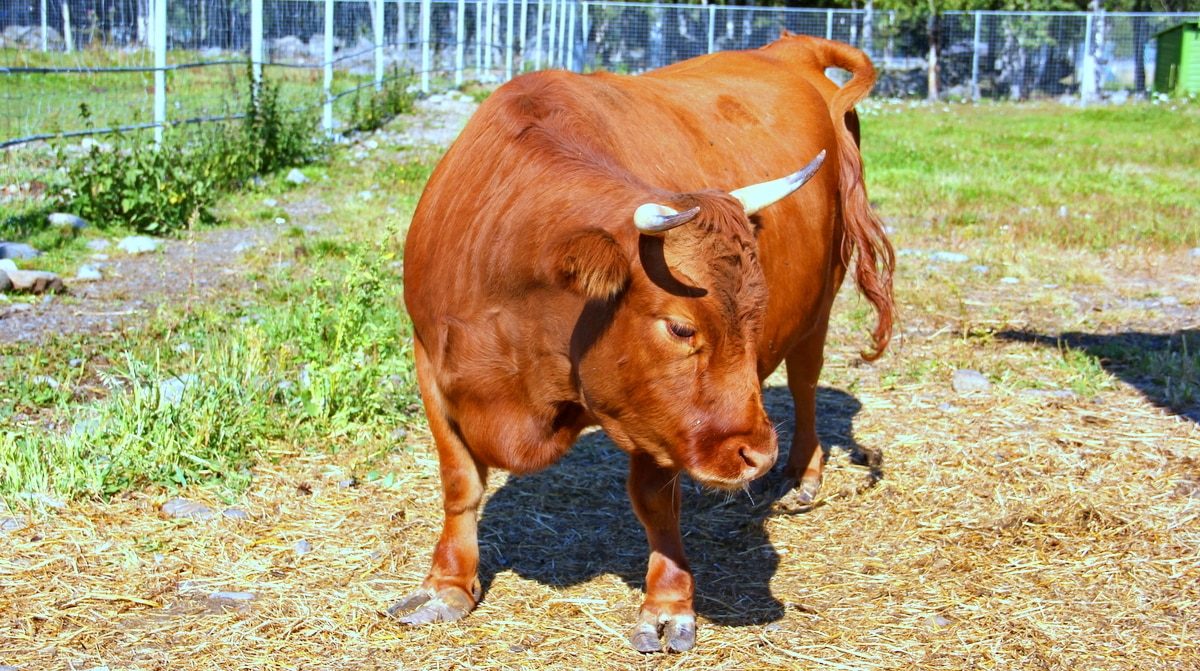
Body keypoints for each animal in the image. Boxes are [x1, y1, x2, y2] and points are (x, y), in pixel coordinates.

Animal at [393, 33, 895, 653]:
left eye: (754, 315)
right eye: (680, 327)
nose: (757, 454)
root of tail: (790, 48)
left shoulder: (654, 421)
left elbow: (655, 504)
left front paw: (667, 605)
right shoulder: (429, 361)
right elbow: (459, 481)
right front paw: (447, 585)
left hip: (822, 296)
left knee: (805, 379)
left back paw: (803, 472)